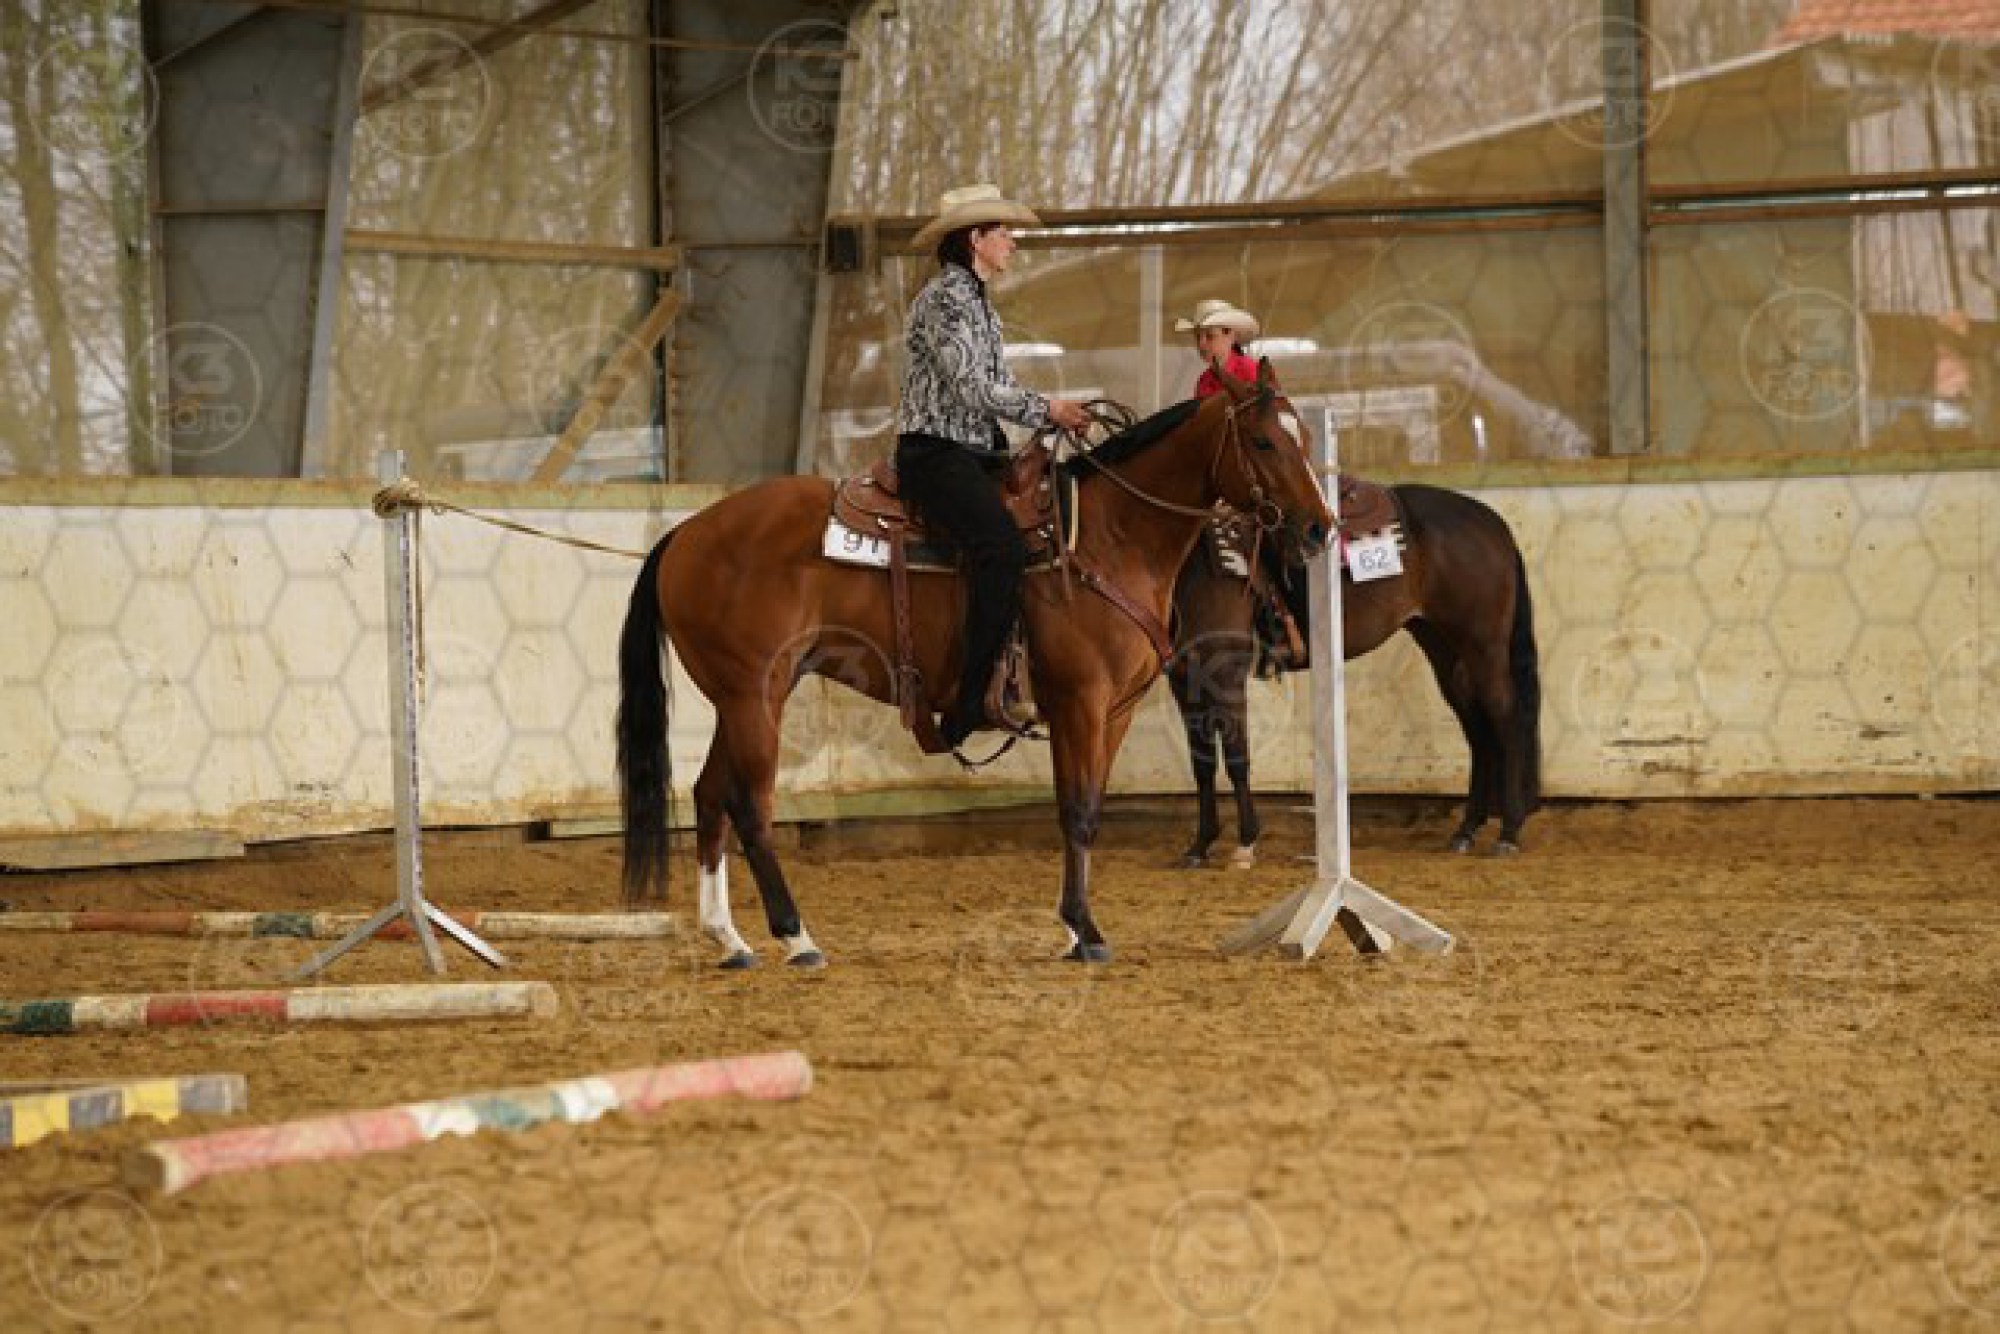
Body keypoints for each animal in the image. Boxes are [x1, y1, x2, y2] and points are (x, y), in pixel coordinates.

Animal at [616, 359, 1334, 967]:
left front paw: (1076, 927)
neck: (1110, 537)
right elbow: (1078, 810)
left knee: (709, 795)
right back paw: (796, 937)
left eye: (1303, 436)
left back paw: (730, 939)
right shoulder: (1081, 701)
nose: (1319, 528)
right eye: (1264, 442)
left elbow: (1087, 807)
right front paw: (1085, 930)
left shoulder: (1116, 710)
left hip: (744, 698)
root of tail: (685, 533)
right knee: (751, 806)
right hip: (755, 695)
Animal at [1166, 483, 1541, 863]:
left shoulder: (1225, 676)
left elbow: (1235, 757)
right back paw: (1466, 830)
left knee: (1505, 717)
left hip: (1483, 647)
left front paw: (1245, 843)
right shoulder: (1184, 680)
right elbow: (1202, 763)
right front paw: (1200, 845)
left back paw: (1509, 831)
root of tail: (1492, 521)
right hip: (1444, 648)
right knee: (1477, 729)